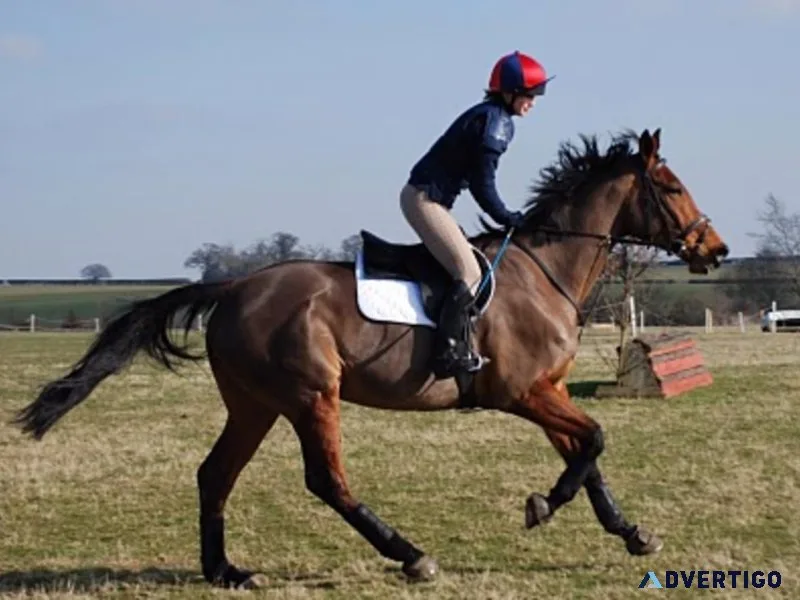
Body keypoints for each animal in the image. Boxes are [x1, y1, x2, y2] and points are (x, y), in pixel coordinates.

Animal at [12, 128, 729, 589]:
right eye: (672, 186)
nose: (716, 249)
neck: (543, 268)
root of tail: (236, 286)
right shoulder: (521, 394)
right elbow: (595, 441)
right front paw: (542, 507)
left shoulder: (548, 392)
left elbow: (588, 457)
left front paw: (631, 532)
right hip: (310, 397)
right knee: (326, 480)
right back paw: (411, 555)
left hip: (254, 405)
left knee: (215, 474)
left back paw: (225, 571)